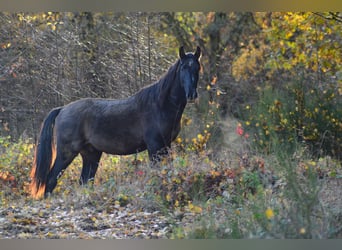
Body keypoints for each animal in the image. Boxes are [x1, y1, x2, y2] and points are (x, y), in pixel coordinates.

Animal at [30, 46, 202, 199]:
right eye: (183, 68)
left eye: (197, 68)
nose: (191, 94)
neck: (159, 105)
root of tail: (63, 109)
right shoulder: (155, 146)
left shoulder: (166, 145)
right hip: (66, 153)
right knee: (51, 179)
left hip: (91, 154)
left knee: (84, 181)